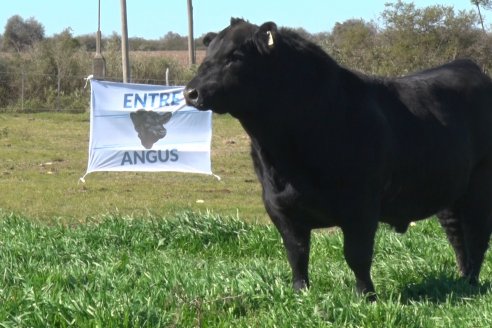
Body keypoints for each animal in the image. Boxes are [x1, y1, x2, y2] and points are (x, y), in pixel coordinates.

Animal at [183, 18, 492, 300]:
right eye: (208, 55)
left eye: (235, 57)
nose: (190, 92)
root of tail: (468, 65)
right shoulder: (278, 206)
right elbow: (296, 253)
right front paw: (300, 294)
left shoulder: (361, 205)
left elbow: (356, 255)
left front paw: (366, 296)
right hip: (450, 191)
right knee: (457, 235)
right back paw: (461, 278)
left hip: (478, 186)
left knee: (476, 235)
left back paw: (470, 284)